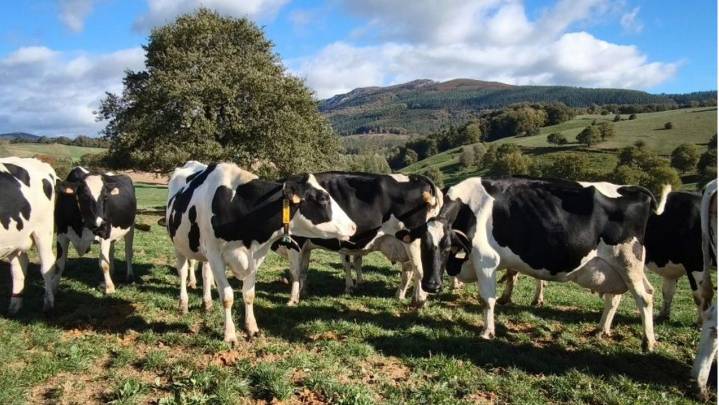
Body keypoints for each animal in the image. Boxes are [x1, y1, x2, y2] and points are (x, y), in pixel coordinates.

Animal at [0, 157, 58, 313]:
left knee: (47, 264)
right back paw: (14, 306)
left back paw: (48, 304)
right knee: (19, 267)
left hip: (42, 229)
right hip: (15, 237)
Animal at [165, 162, 356, 343]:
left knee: (205, 273)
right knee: (183, 272)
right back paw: (183, 304)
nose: (354, 226)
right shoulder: (215, 255)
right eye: (323, 199)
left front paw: (252, 328)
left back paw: (207, 304)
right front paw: (230, 334)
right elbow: (227, 296)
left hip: (204, 254)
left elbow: (249, 294)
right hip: (179, 245)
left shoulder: (254, 257)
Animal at [273, 172, 442, 307]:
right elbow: (303, 270)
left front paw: (292, 300)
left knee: (420, 270)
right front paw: (303, 292)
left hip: (414, 242)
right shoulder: (306, 245)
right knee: (409, 270)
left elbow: (295, 272)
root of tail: (415, 177)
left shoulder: (295, 242)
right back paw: (404, 296)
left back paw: (419, 300)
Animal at [419, 177, 668, 352]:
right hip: (619, 267)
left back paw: (648, 342)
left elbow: (487, 300)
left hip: (628, 261)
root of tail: (633, 189)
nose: (431, 285)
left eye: (447, 247)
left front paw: (487, 332)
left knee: (644, 296)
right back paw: (601, 330)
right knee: (622, 296)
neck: (469, 208)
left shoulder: (486, 260)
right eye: (423, 246)